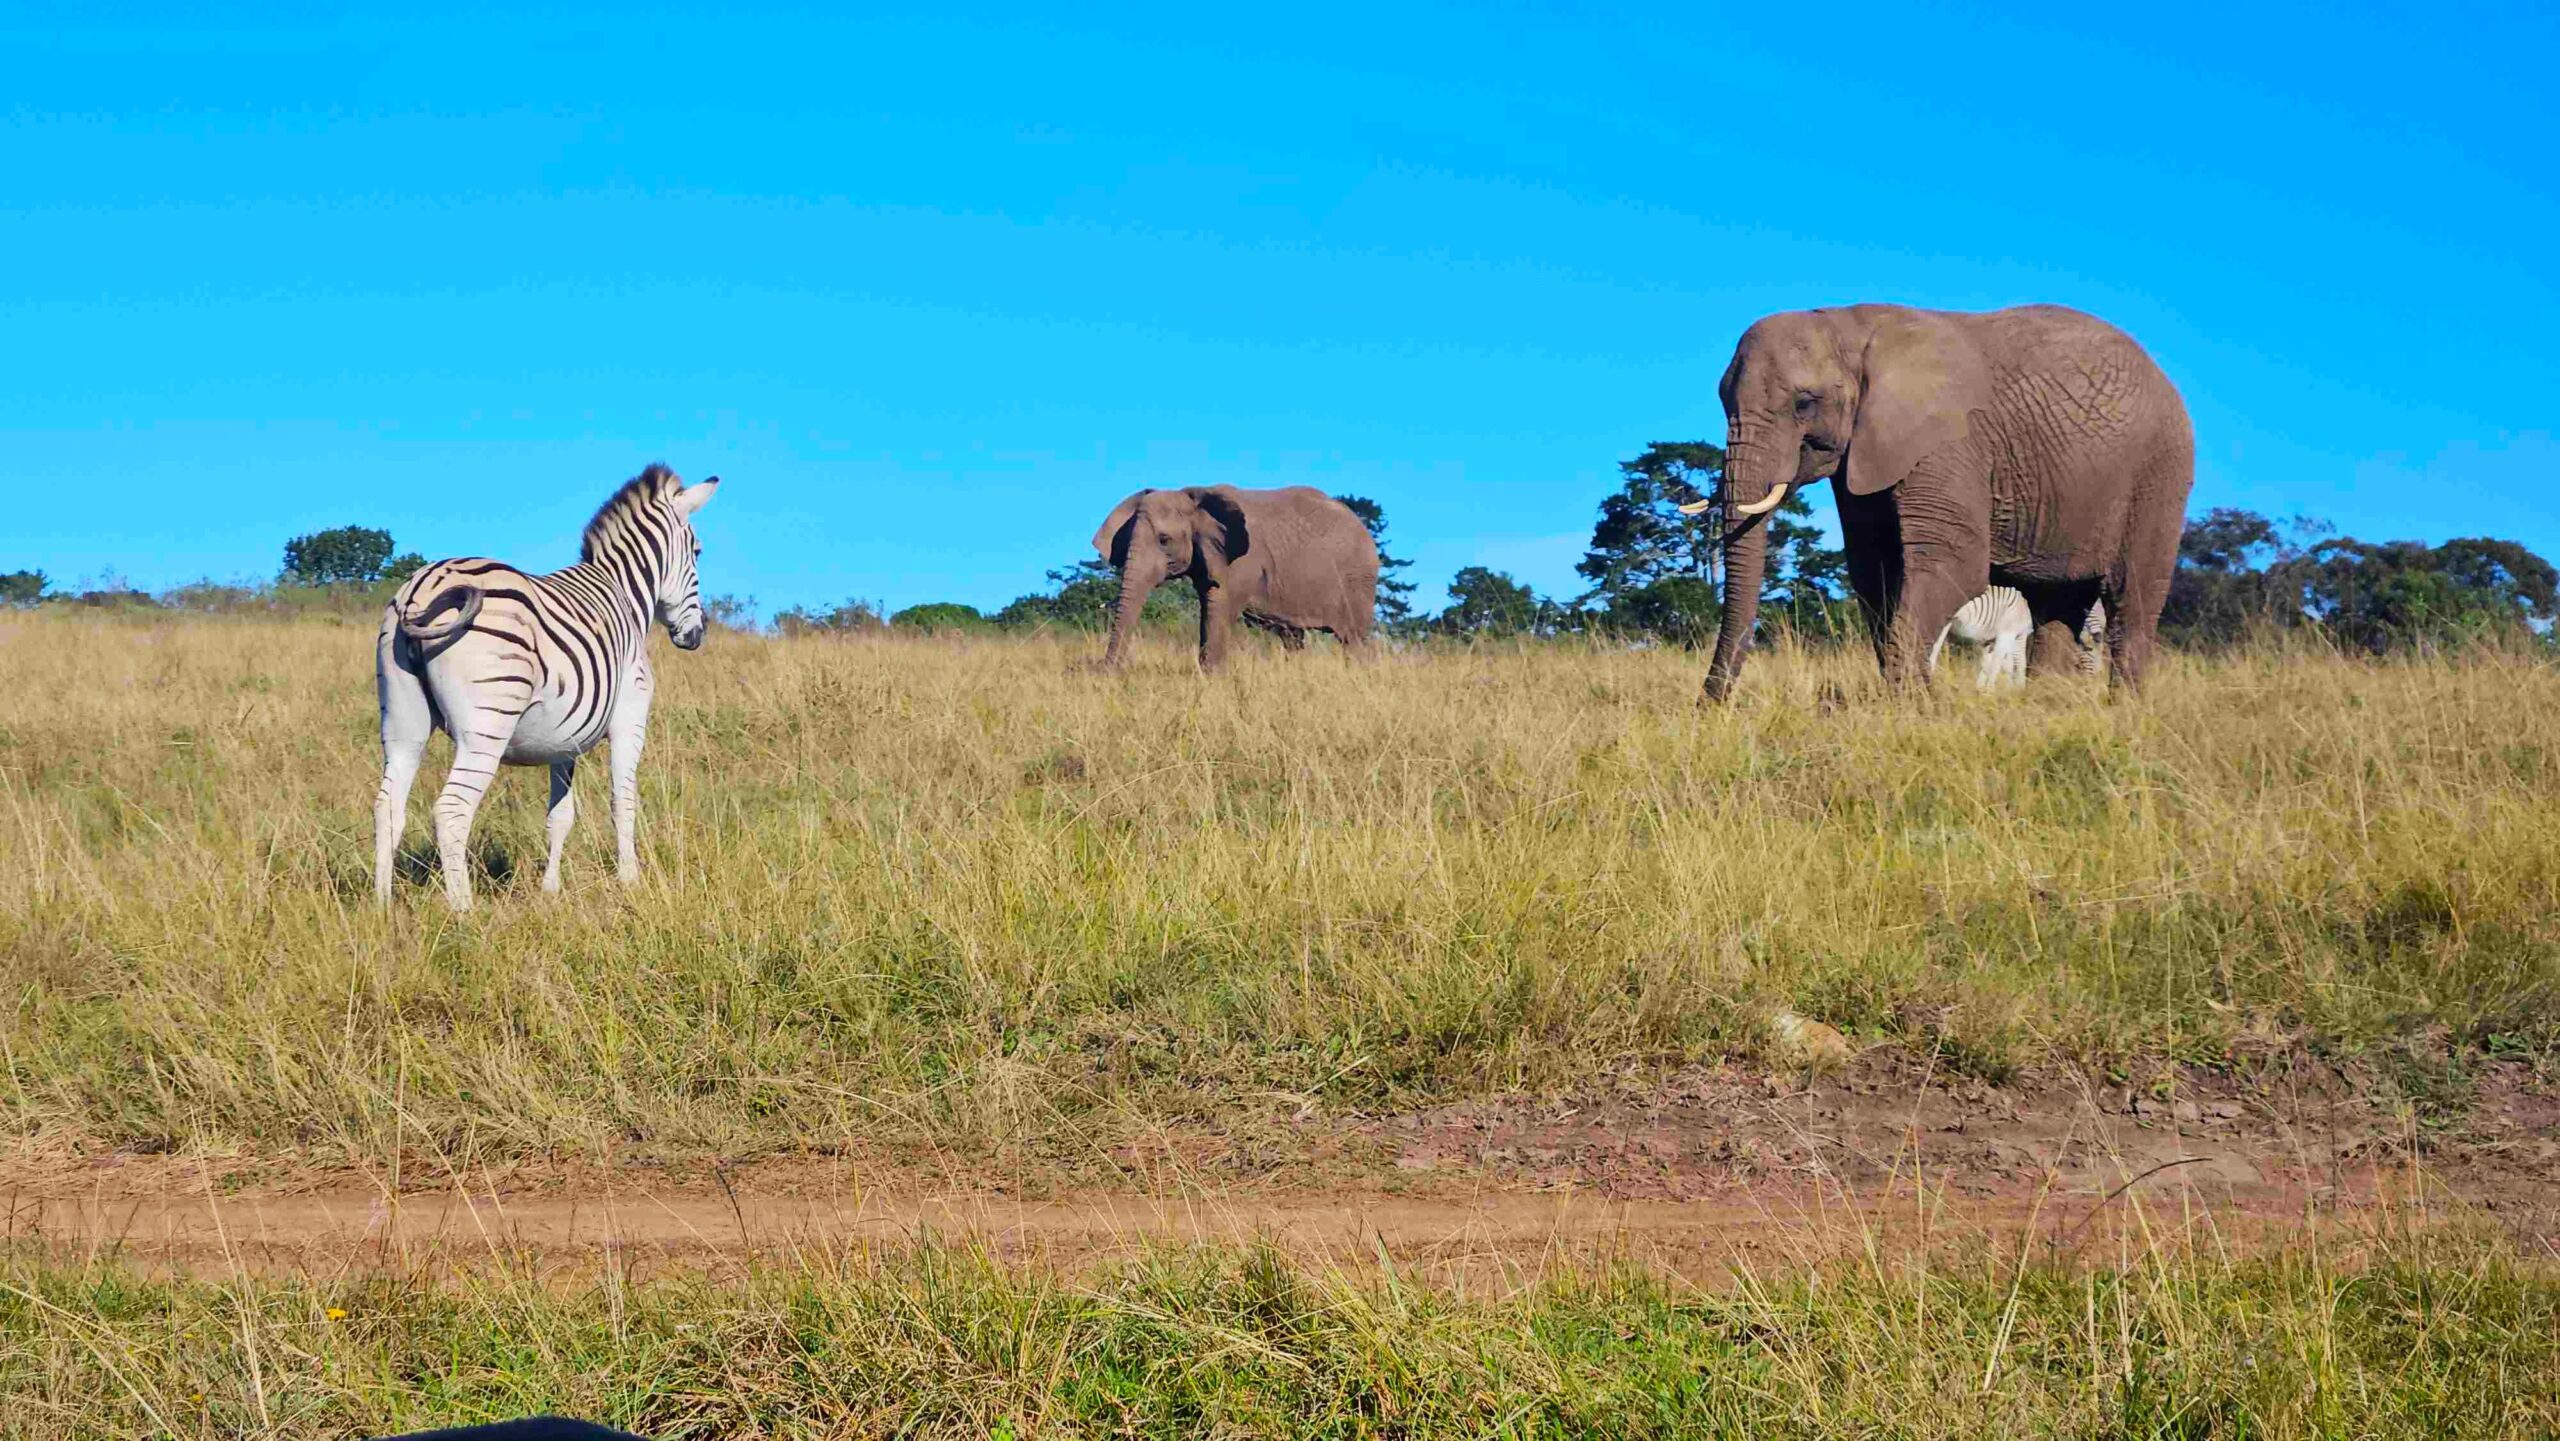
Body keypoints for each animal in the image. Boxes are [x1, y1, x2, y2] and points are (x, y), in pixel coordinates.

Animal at [1090, 485, 1380, 671]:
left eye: (1164, 540)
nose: (1109, 671)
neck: (1193, 499)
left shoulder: (1241, 562)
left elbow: (1218, 609)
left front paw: (1212, 676)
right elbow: (1208, 607)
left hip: (1357, 581)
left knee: (1352, 640)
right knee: (1293, 638)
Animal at [1690, 304, 2192, 699]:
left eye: (1803, 404)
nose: (1708, 708)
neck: (1847, 327)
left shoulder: (1949, 444)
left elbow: (1952, 563)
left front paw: (1909, 707)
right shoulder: (1868, 451)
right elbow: (1875, 570)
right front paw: (1922, 701)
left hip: (2159, 472)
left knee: (2132, 598)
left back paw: (2124, 710)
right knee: (2056, 605)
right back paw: (2046, 708)